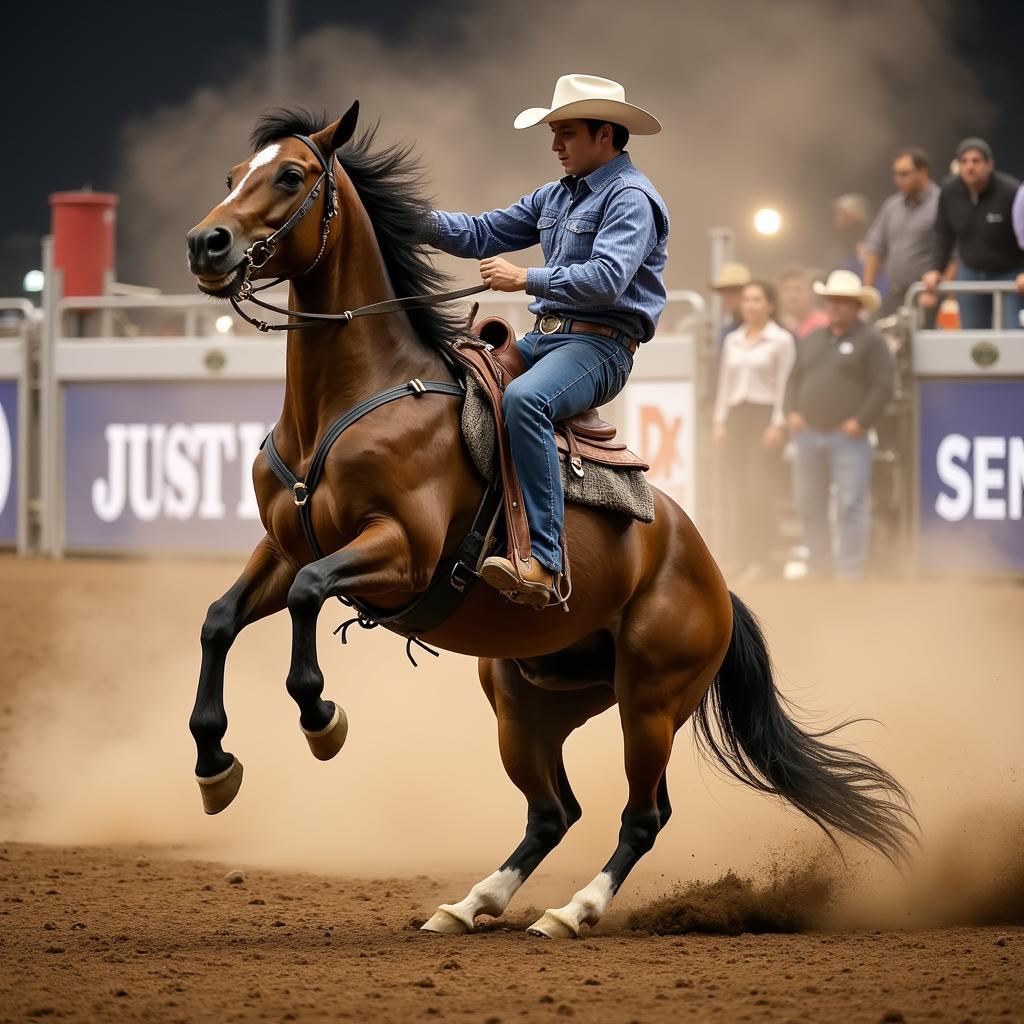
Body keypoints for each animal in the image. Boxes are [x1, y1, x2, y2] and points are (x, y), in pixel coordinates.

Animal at [184, 101, 913, 937]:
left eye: (291, 174)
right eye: (232, 174)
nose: (206, 243)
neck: (349, 403)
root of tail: (714, 579)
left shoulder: (400, 552)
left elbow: (310, 594)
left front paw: (321, 719)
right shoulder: (279, 547)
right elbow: (220, 618)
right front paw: (214, 766)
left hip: (650, 702)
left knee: (643, 815)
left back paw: (572, 910)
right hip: (526, 702)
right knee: (552, 811)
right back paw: (472, 903)